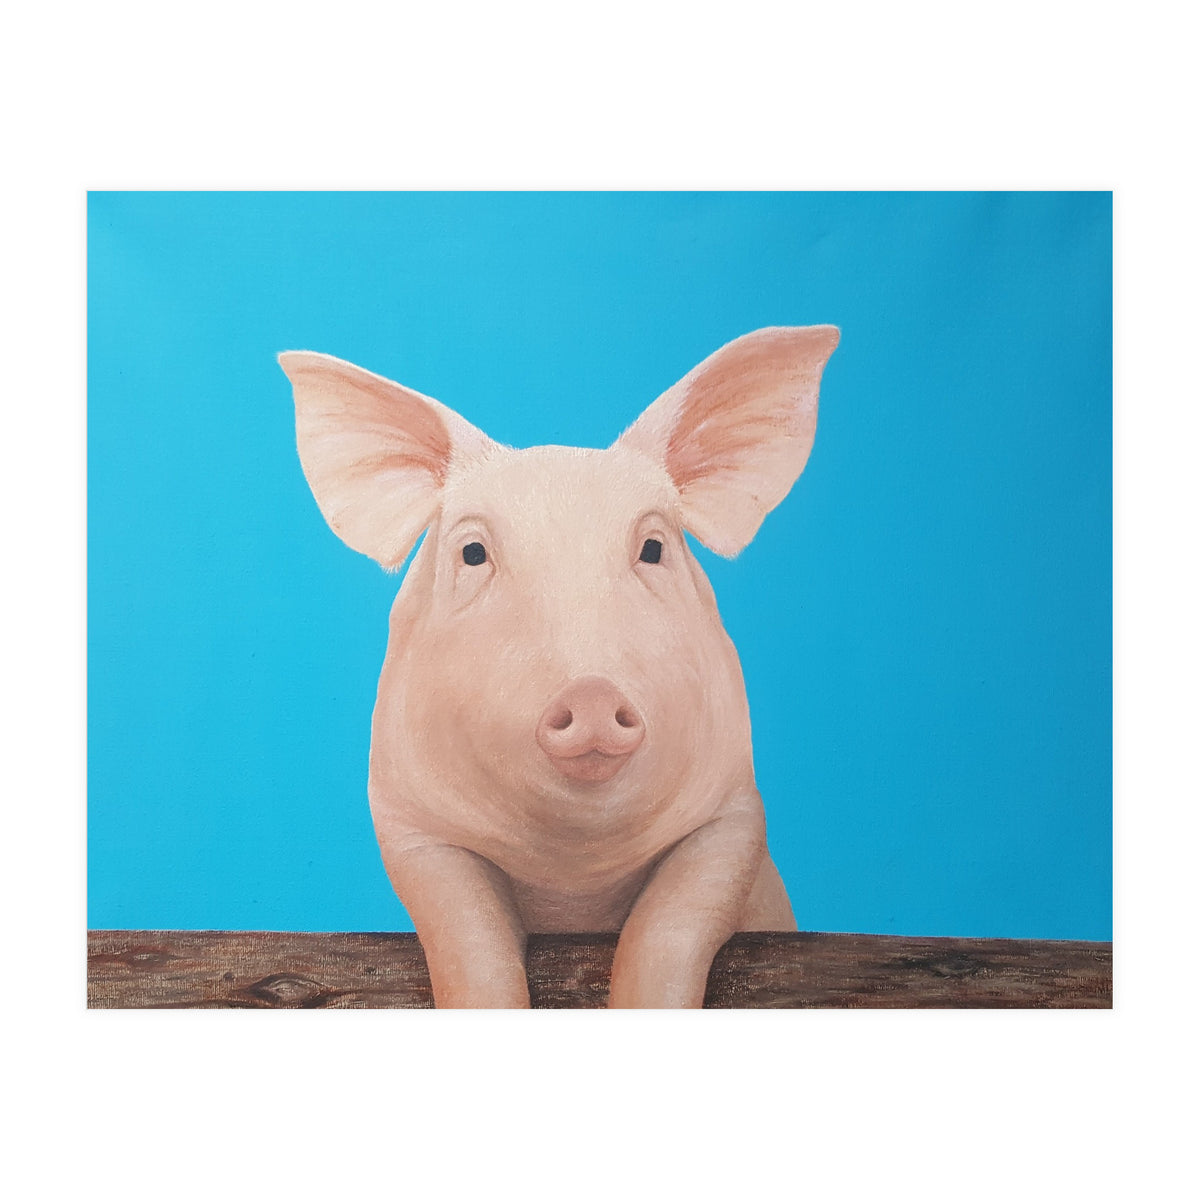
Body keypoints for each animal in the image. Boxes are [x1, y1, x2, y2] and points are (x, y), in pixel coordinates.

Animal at [279, 325, 839, 1008]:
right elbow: (468, 939)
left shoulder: (734, 813)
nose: (592, 692)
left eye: (653, 548)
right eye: (473, 553)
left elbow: (669, 928)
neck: (573, 873)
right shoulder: (410, 825)